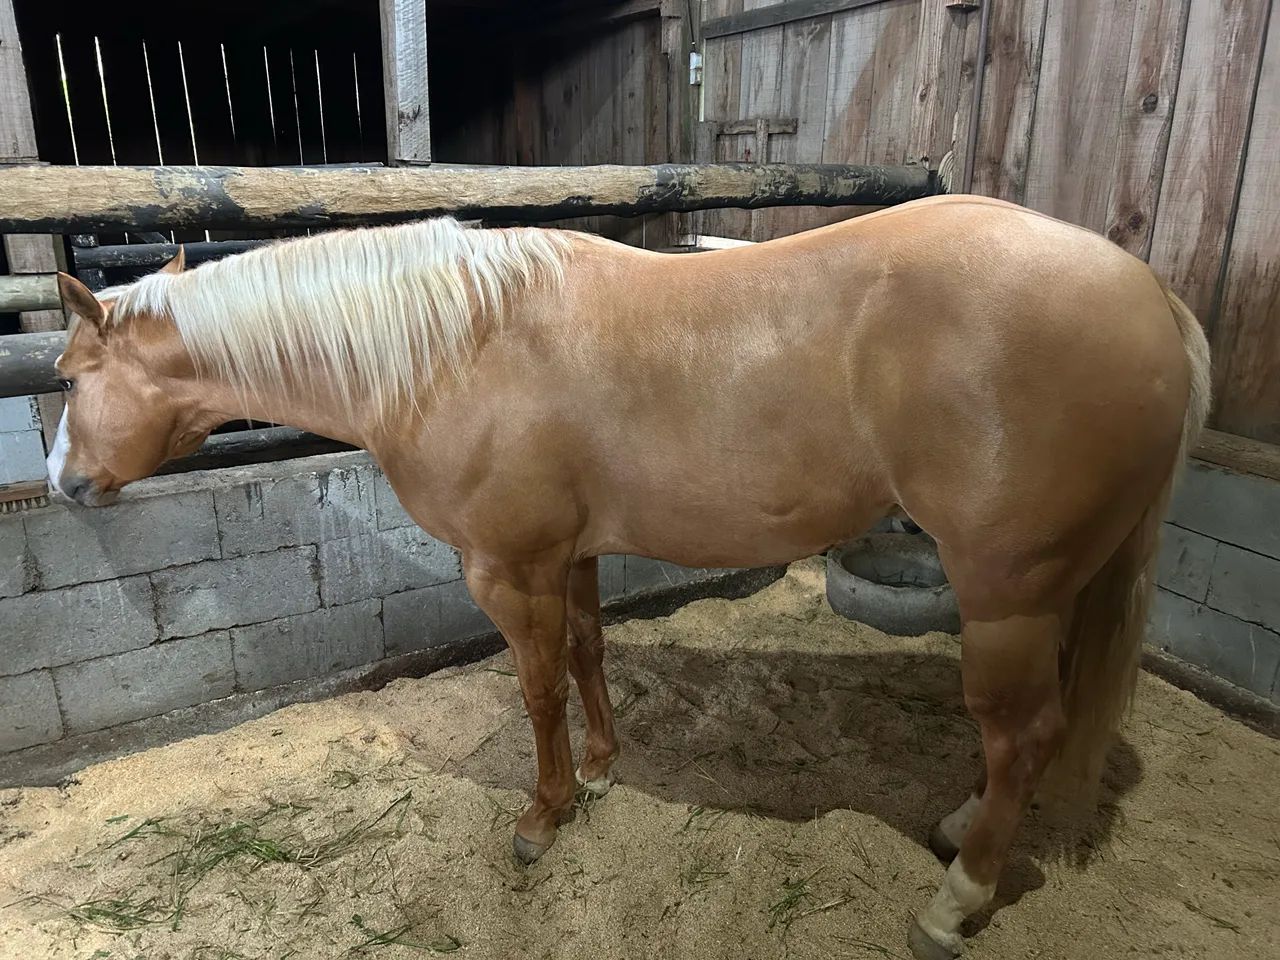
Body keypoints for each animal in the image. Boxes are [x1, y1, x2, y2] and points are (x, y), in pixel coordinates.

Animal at [46, 195, 1209, 960]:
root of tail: (1146, 292)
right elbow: (590, 654)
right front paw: (603, 771)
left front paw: (543, 816)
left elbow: (535, 687)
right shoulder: (572, 553)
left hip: (1006, 594)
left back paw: (954, 900)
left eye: (64, 375)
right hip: (1051, 593)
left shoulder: (505, 567)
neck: (455, 345)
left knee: (1021, 734)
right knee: (1033, 731)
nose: (60, 481)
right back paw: (965, 829)